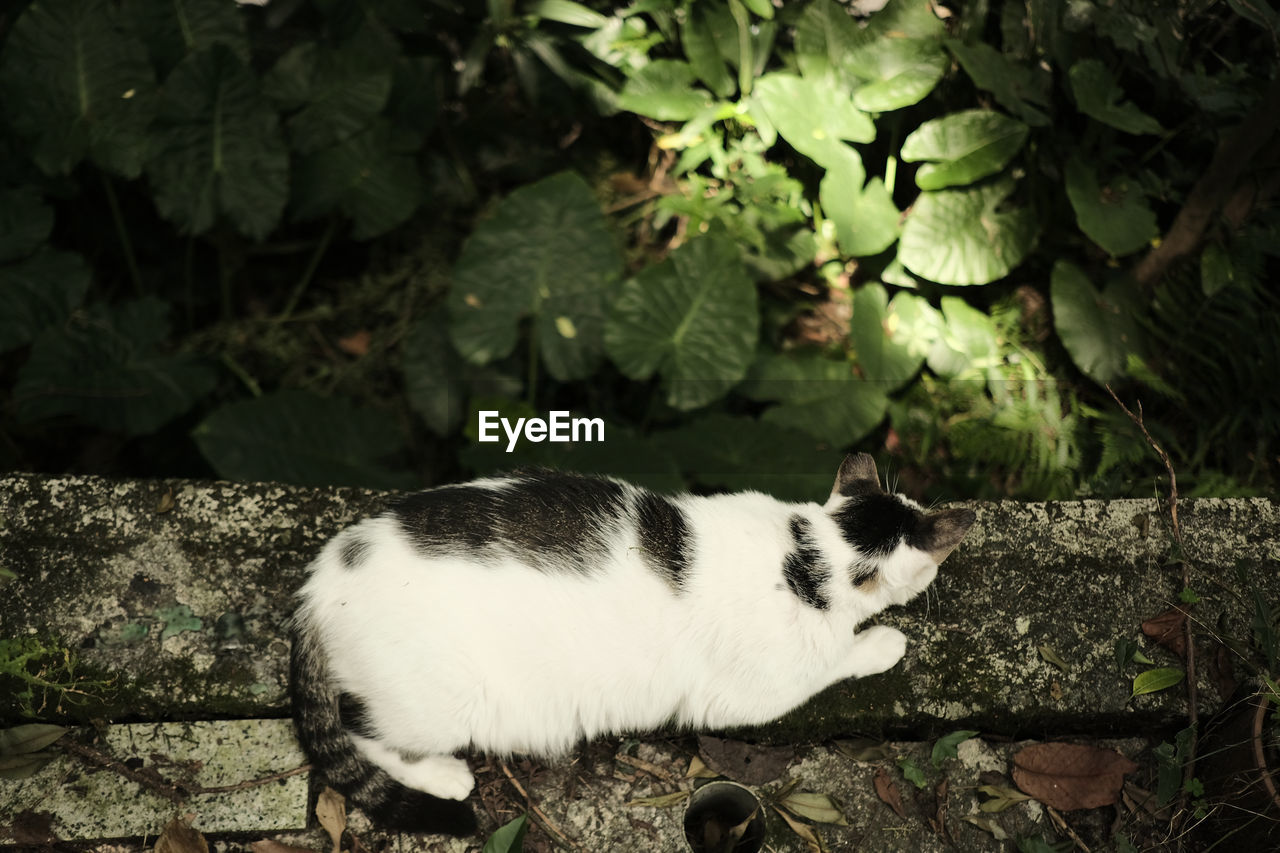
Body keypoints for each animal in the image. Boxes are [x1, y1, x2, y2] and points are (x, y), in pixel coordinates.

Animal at [288, 450, 967, 829]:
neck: (807, 557)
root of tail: (317, 589)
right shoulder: (754, 694)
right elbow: (837, 657)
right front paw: (882, 644)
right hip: (440, 703)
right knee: (359, 735)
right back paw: (443, 775)